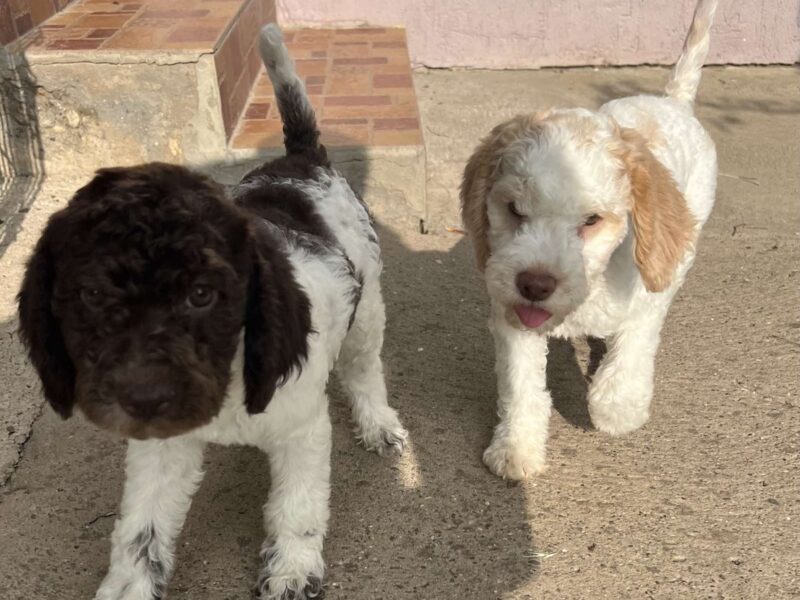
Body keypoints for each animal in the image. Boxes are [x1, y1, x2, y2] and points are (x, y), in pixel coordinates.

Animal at [462, 0, 720, 478]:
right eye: (515, 210)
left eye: (592, 220)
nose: (535, 284)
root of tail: (672, 100)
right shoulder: (513, 317)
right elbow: (522, 387)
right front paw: (516, 447)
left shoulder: (647, 299)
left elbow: (634, 345)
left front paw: (618, 407)